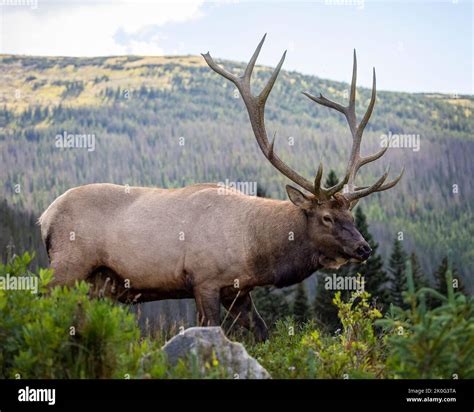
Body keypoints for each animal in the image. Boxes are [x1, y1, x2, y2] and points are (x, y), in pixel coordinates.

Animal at [40, 33, 404, 340]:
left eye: (353, 217)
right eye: (327, 217)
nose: (364, 248)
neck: (254, 250)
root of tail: (45, 217)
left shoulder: (239, 291)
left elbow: (262, 332)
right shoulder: (205, 279)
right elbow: (210, 330)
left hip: (94, 284)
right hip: (67, 266)